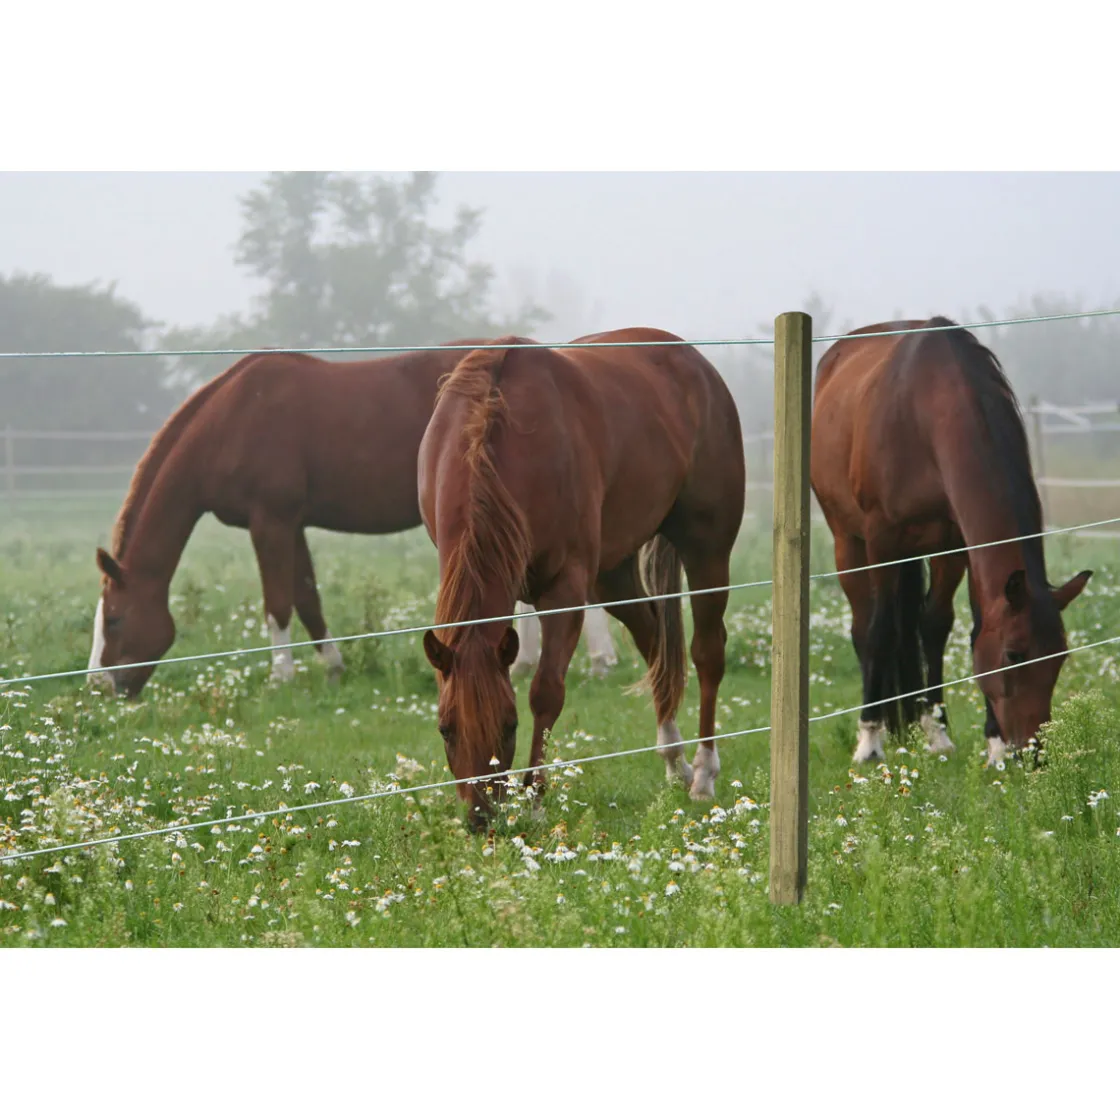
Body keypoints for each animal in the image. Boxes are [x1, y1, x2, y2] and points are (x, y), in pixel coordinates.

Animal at [86, 345, 618, 698]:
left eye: (114, 619)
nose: (100, 684)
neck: (232, 421)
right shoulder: (291, 524)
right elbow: (307, 598)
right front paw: (333, 667)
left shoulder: (270, 522)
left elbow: (278, 604)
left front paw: (281, 676)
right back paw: (526, 660)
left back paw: (599, 661)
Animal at [418, 328, 745, 829]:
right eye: (445, 729)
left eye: (509, 725)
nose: (481, 817)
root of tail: (696, 363)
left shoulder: (565, 591)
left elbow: (546, 692)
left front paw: (535, 799)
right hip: (612, 574)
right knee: (654, 639)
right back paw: (674, 760)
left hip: (706, 549)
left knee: (707, 653)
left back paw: (703, 774)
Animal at [810, 317, 1091, 766]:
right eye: (1014, 655)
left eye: (1060, 657)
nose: (1033, 753)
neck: (928, 411)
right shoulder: (881, 539)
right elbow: (880, 631)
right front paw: (869, 741)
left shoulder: (956, 542)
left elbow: (944, 624)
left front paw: (974, 740)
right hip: (848, 541)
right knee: (865, 625)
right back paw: (880, 728)